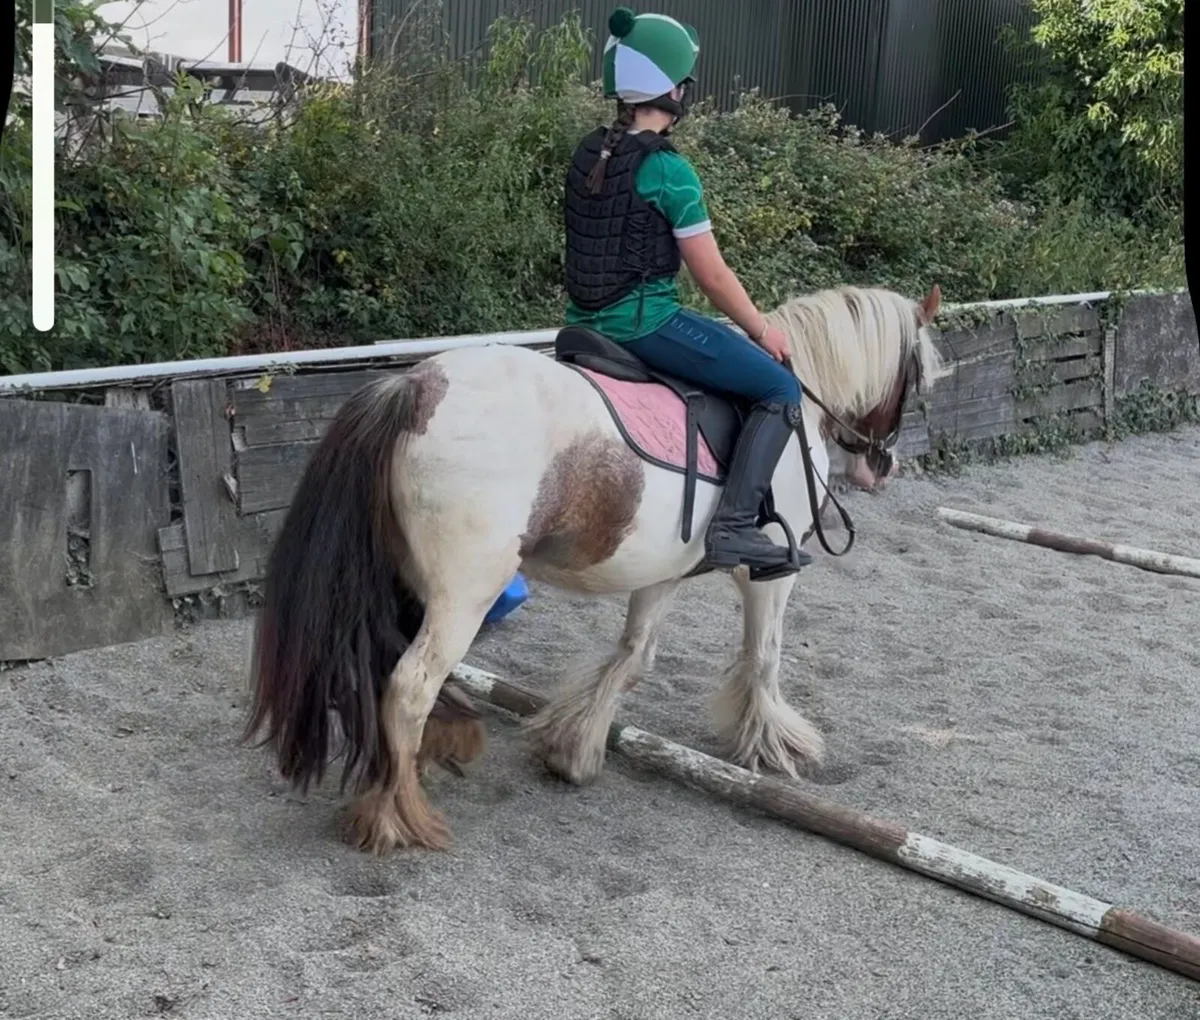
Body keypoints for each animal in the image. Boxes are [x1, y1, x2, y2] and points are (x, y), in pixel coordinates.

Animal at [242, 283, 946, 854]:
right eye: (917, 380)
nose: (880, 465)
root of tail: (415, 387)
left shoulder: (662, 574)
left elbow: (633, 658)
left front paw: (572, 748)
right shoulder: (774, 571)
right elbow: (764, 656)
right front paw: (774, 745)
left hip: (415, 580)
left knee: (393, 662)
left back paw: (443, 742)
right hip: (467, 591)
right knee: (410, 682)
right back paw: (399, 815)